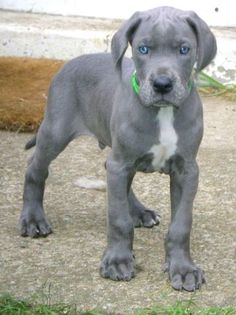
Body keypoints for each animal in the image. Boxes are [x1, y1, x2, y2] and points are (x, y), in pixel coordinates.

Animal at [19, 6, 216, 292]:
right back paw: (33, 219)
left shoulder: (186, 170)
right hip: (55, 132)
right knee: (35, 168)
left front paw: (183, 268)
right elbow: (117, 218)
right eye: (143, 49)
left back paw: (140, 212)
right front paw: (118, 261)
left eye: (184, 49)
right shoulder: (121, 163)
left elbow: (181, 223)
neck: (163, 113)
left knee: (112, 174)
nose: (162, 84)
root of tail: (67, 63)